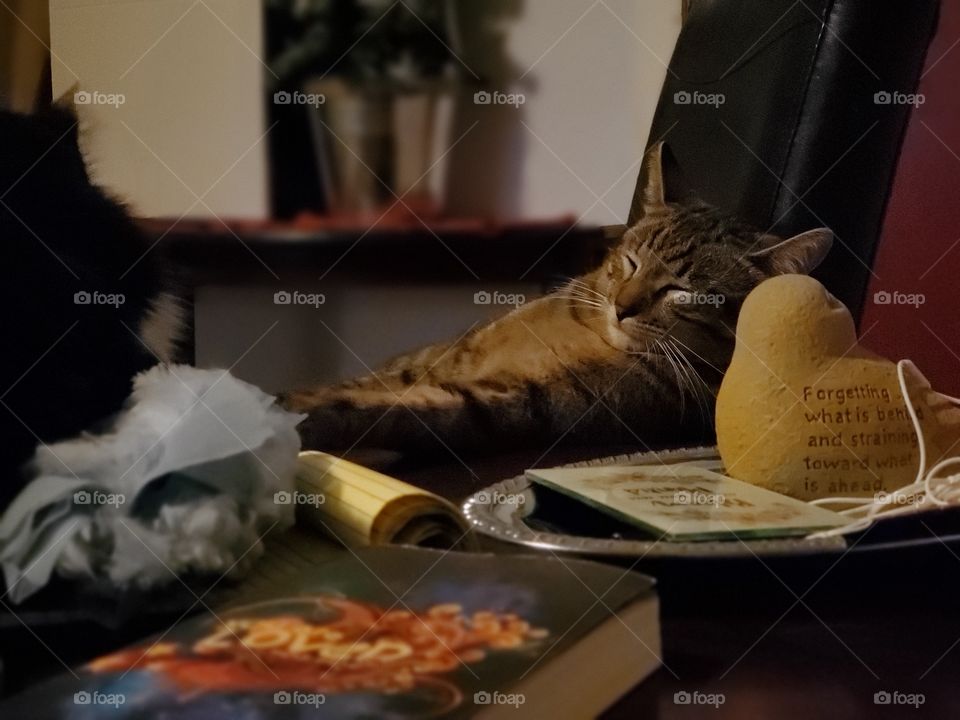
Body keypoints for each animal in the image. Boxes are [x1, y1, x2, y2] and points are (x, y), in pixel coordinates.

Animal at [284, 143, 832, 452]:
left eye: (680, 290)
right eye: (632, 262)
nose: (622, 306)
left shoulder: (530, 402)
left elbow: (388, 411)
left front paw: (304, 421)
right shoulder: (445, 357)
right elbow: (367, 382)